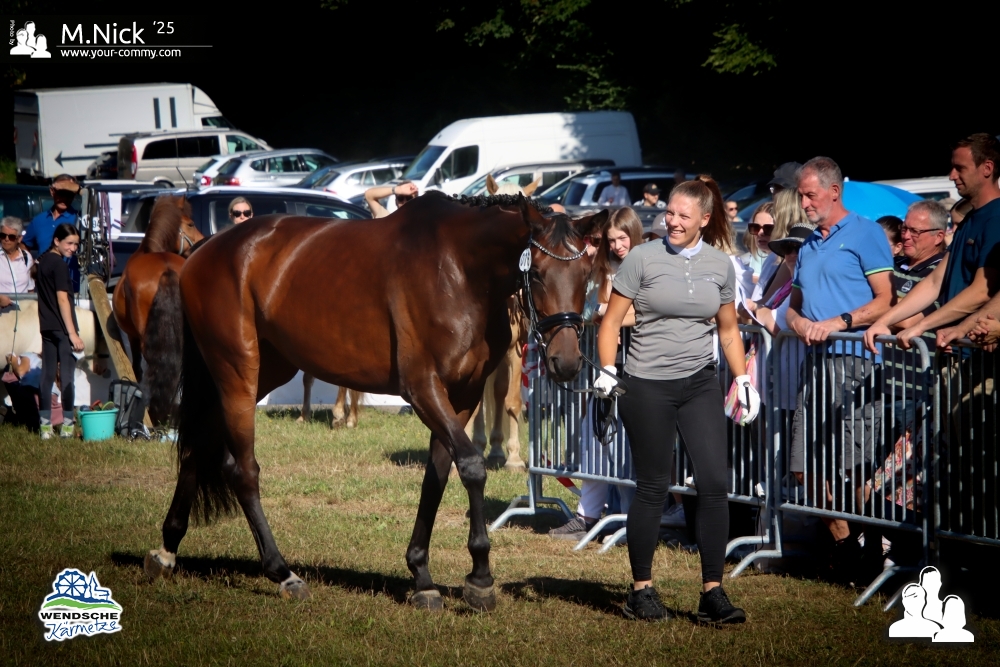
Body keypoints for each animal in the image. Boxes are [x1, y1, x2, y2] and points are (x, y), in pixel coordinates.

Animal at [143, 192, 605, 611]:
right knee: (242, 470)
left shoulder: (462, 397)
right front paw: (480, 580)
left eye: (586, 274)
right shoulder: (422, 388)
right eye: (538, 273)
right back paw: (282, 572)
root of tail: (205, 248)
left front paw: (422, 577)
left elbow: (437, 476)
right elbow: (472, 467)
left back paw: (167, 549)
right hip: (237, 371)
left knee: (196, 450)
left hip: (256, 373)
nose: (566, 362)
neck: (460, 271)